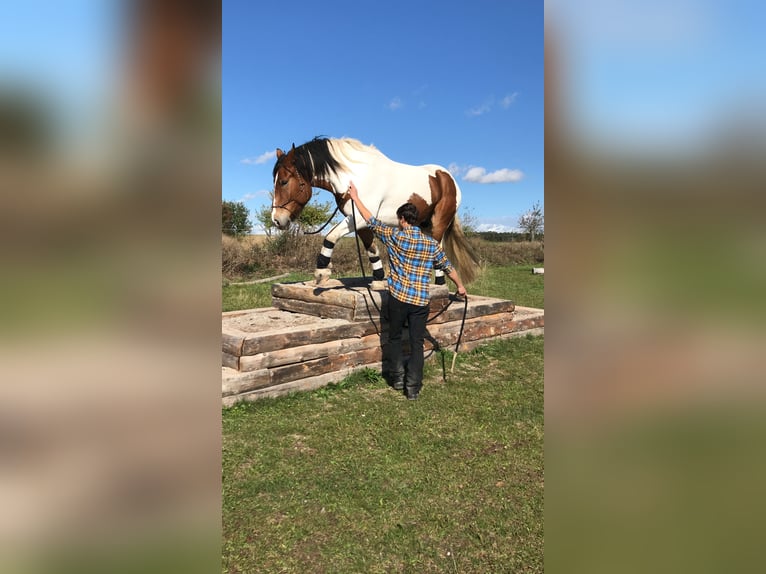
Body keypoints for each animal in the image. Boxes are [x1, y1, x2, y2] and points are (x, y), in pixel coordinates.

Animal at [272, 138, 484, 286]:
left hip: (439, 222)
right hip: (423, 224)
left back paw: (439, 284)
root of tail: (448, 178)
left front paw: (322, 272)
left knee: (438, 248)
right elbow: (372, 250)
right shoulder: (361, 222)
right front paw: (378, 279)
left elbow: (330, 236)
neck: (354, 177)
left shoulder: (359, 218)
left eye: (283, 181)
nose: (276, 220)